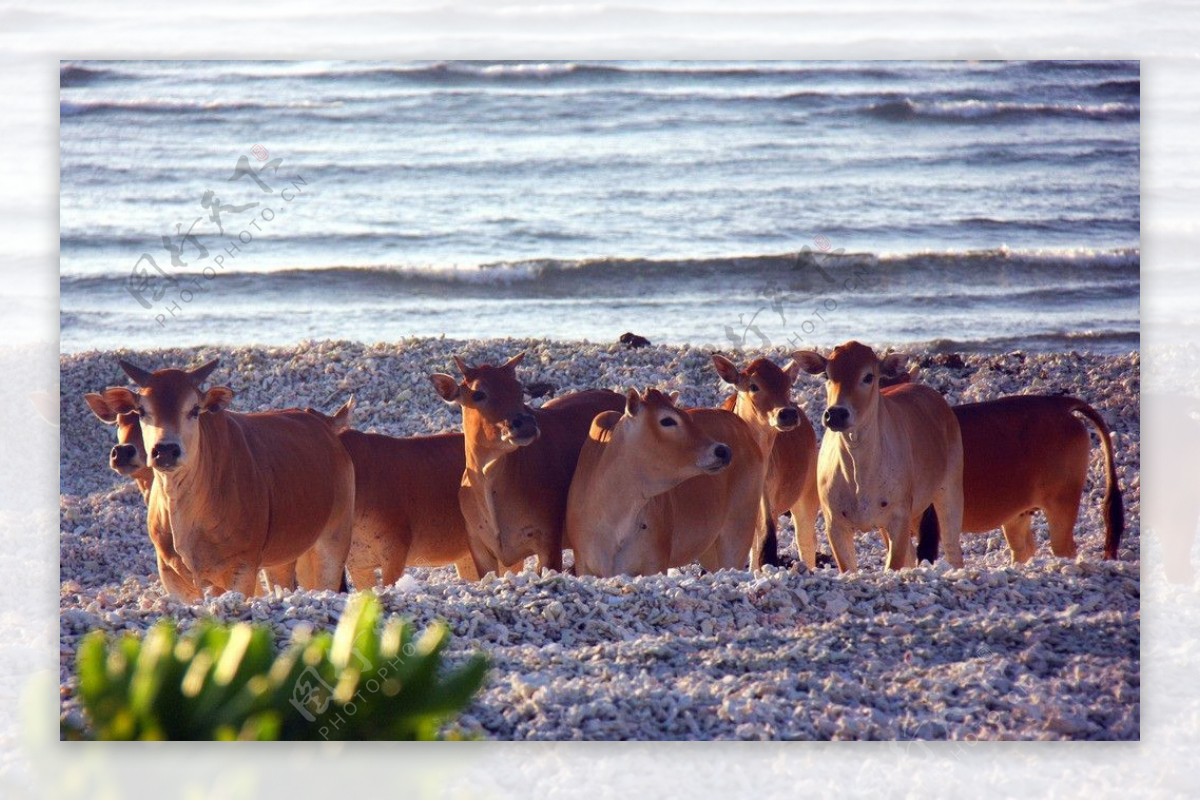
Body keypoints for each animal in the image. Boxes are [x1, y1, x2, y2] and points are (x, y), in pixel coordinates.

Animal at [101, 359, 355, 597]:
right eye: (142, 411)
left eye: (194, 409)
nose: (165, 451)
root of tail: (327, 425)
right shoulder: (172, 576)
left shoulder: (241, 569)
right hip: (286, 557)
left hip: (333, 542)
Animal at [568, 388, 772, 575]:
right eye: (667, 420)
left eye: (686, 416)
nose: (723, 451)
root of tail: (741, 426)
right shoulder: (584, 565)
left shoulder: (655, 563)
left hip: (737, 535)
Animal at [796, 340, 964, 573]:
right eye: (826, 375)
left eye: (868, 376)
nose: (836, 414)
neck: (859, 473)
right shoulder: (835, 523)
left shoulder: (899, 517)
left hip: (950, 489)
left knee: (952, 547)